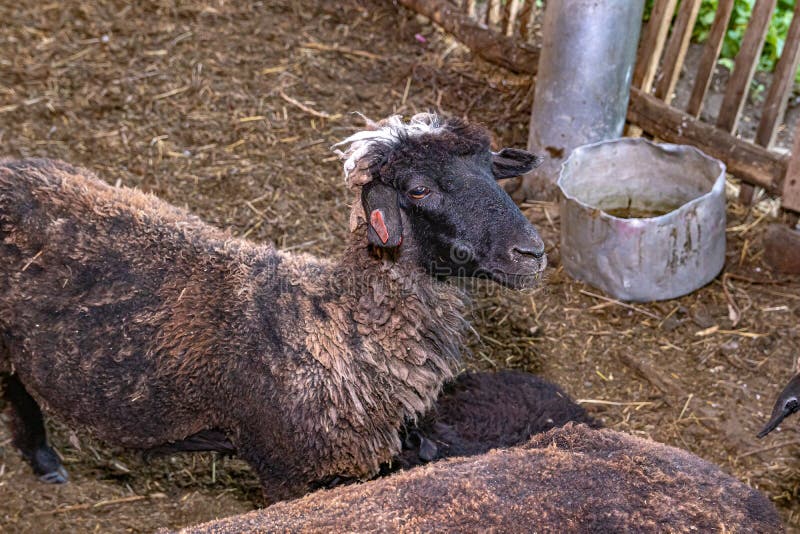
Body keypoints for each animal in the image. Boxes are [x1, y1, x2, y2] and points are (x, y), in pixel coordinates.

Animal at [0, 112, 547, 502]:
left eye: (493, 171)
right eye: (419, 189)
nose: (533, 253)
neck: (337, 328)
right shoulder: (284, 469)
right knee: (17, 393)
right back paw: (44, 461)